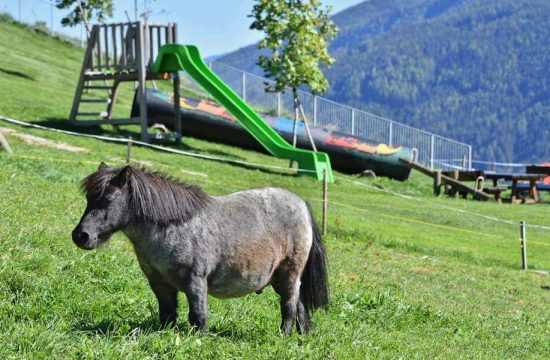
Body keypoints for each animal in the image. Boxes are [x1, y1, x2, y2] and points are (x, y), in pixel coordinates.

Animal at [74, 163, 332, 334]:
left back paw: (283, 335)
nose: (81, 236)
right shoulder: (160, 284)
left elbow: (198, 316)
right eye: (87, 199)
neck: (174, 229)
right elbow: (167, 314)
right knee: (299, 306)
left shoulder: (195, 282)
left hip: (289, 275)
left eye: (108, 200)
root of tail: (301, 204)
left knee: (288, 307)